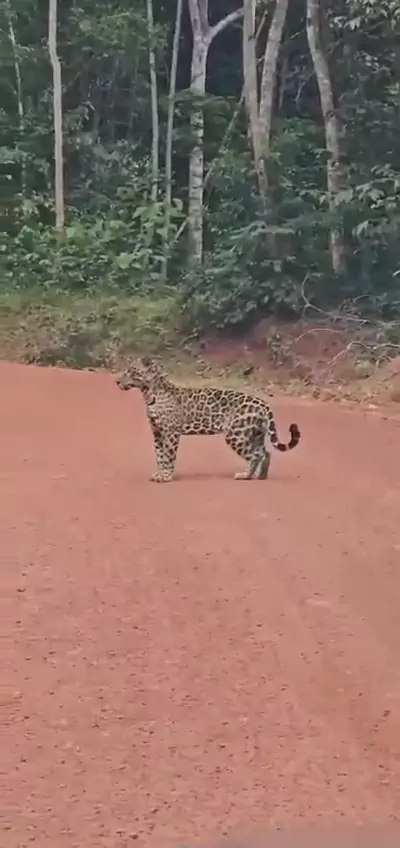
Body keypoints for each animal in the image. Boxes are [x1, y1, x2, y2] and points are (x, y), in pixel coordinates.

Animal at [116, 356, 300, 483]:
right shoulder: (157, 432)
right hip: (255, 434)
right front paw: (159, 473)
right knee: (265, 452)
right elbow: (159, 455)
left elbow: (168, 454)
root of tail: (264, 403)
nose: (117, 381)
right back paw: (261, 476)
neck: (149, 393)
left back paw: (245, 475)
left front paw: (166, 476)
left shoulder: (170, 432)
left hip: (235, 434)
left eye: (131, 371)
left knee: (256, 455)